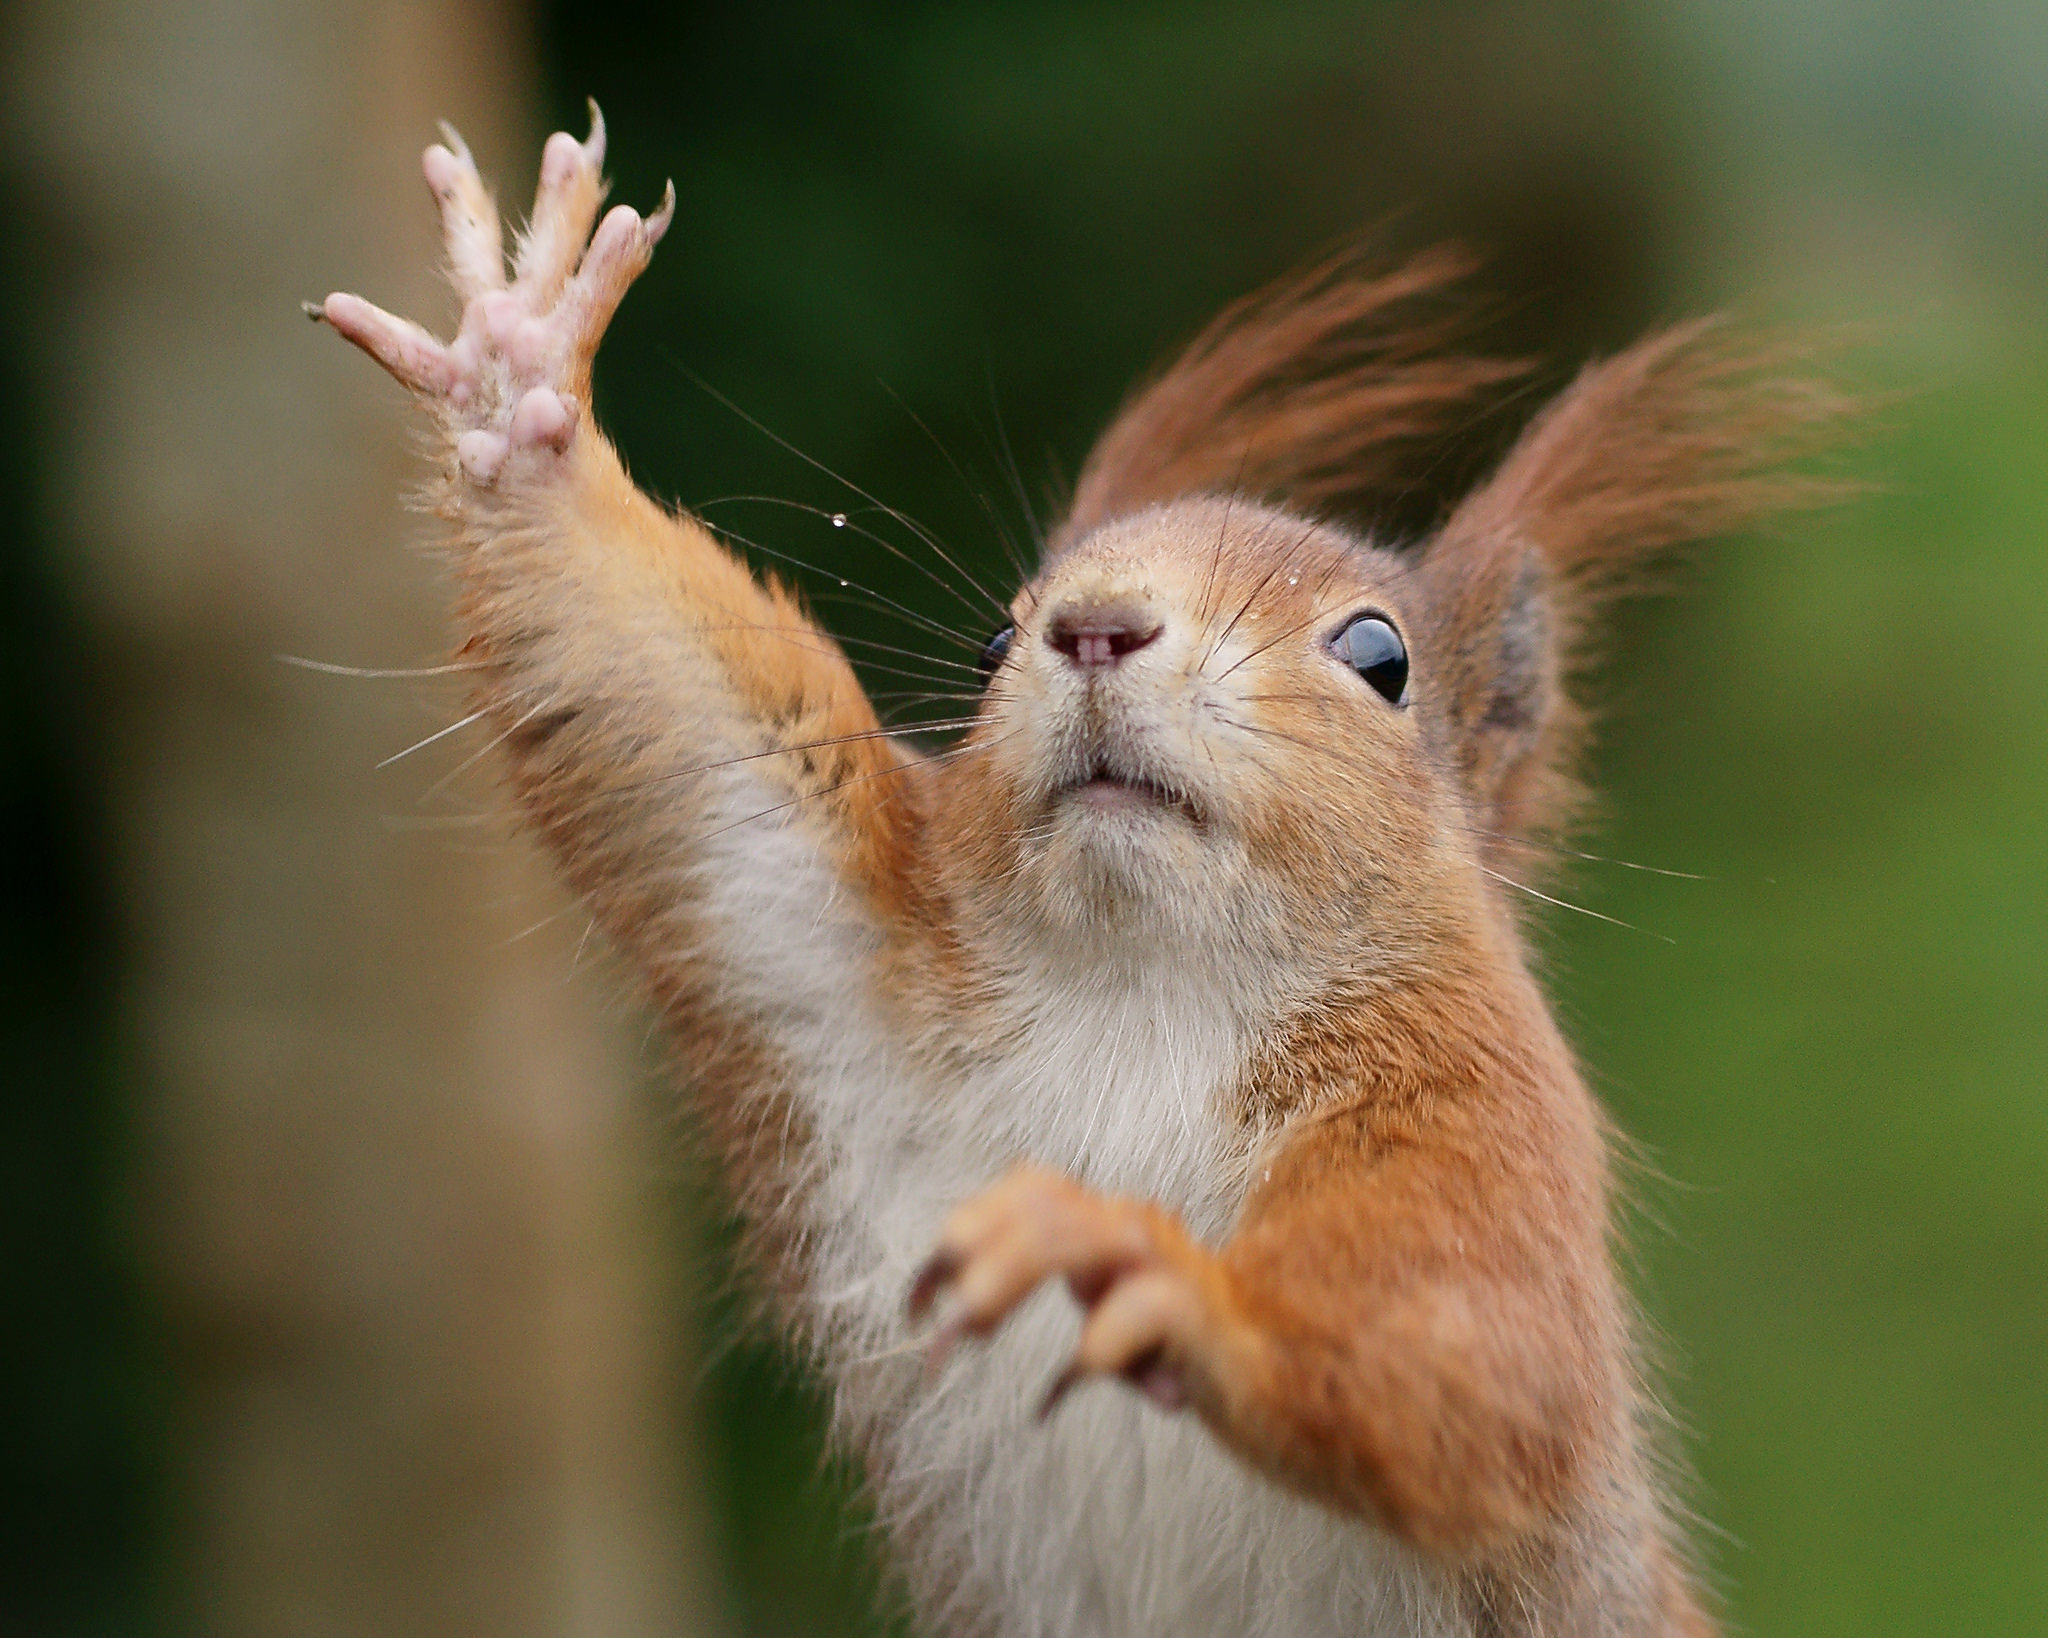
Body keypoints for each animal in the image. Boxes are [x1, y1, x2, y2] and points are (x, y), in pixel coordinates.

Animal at [315, 105, 1843, 1637]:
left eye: (1379, 656)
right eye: (998, 640)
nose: (1094, 626)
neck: (1140, 983)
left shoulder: (1482, 1109)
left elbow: (1471, 1346)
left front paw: (1164, 1281)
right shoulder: (816, 922)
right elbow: (660, 709)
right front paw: (518, 377)